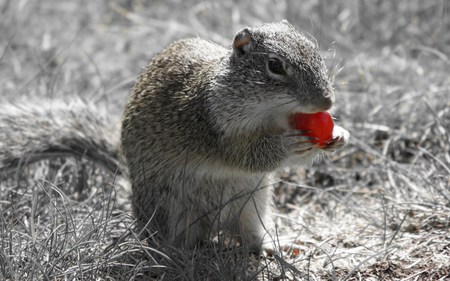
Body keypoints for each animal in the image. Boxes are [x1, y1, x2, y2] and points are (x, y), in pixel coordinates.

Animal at [0, 19, 348, 252]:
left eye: (317, 53)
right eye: (275, 65)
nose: (326, 102)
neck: (273, 115)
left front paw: (340, 134)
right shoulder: (211, 125)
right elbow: (247, 156)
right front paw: (287, 143)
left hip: (252, 207)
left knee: (249, 239)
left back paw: (274, 246)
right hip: (173, 210)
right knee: (172, 242)